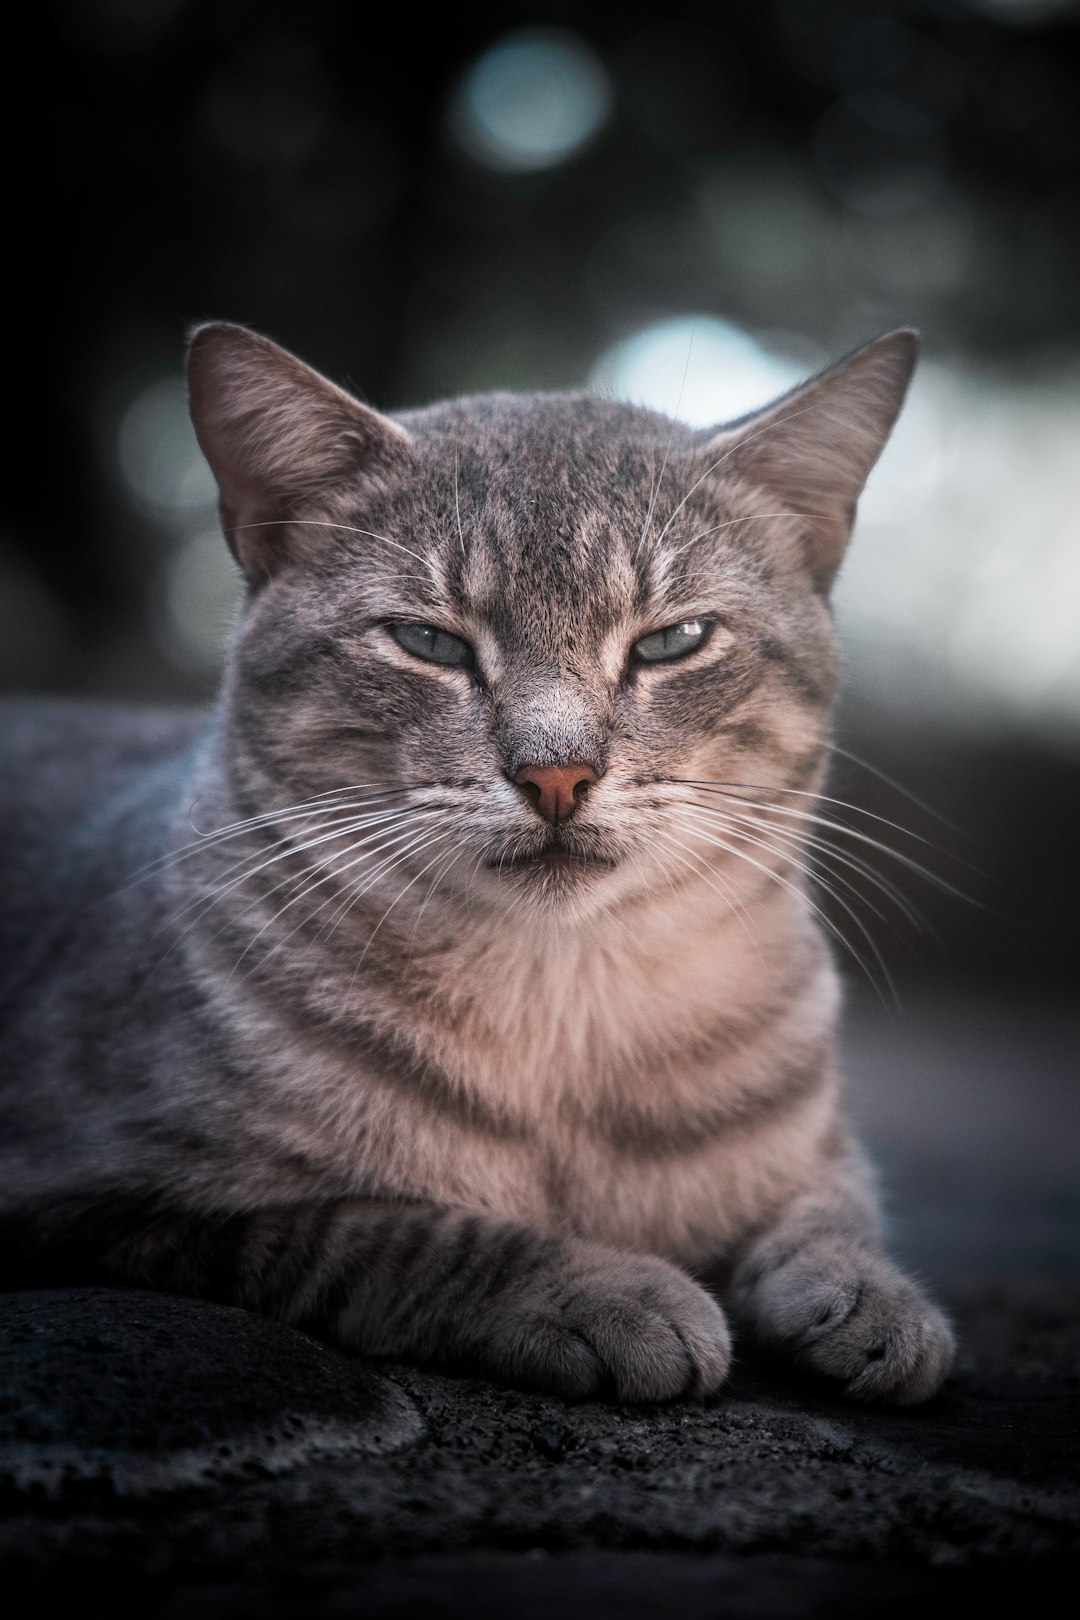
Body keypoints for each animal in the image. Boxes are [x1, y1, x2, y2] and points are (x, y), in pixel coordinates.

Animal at [0, 319, 952, 1406]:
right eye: (430, 641)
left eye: (671, 640)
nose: (557, 773)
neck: (566, 1018)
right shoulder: (93, 1204)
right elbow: (388, 1233)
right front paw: (601, 1287)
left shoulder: (817, 1152)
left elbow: (832, 1207)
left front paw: (870, 1295)